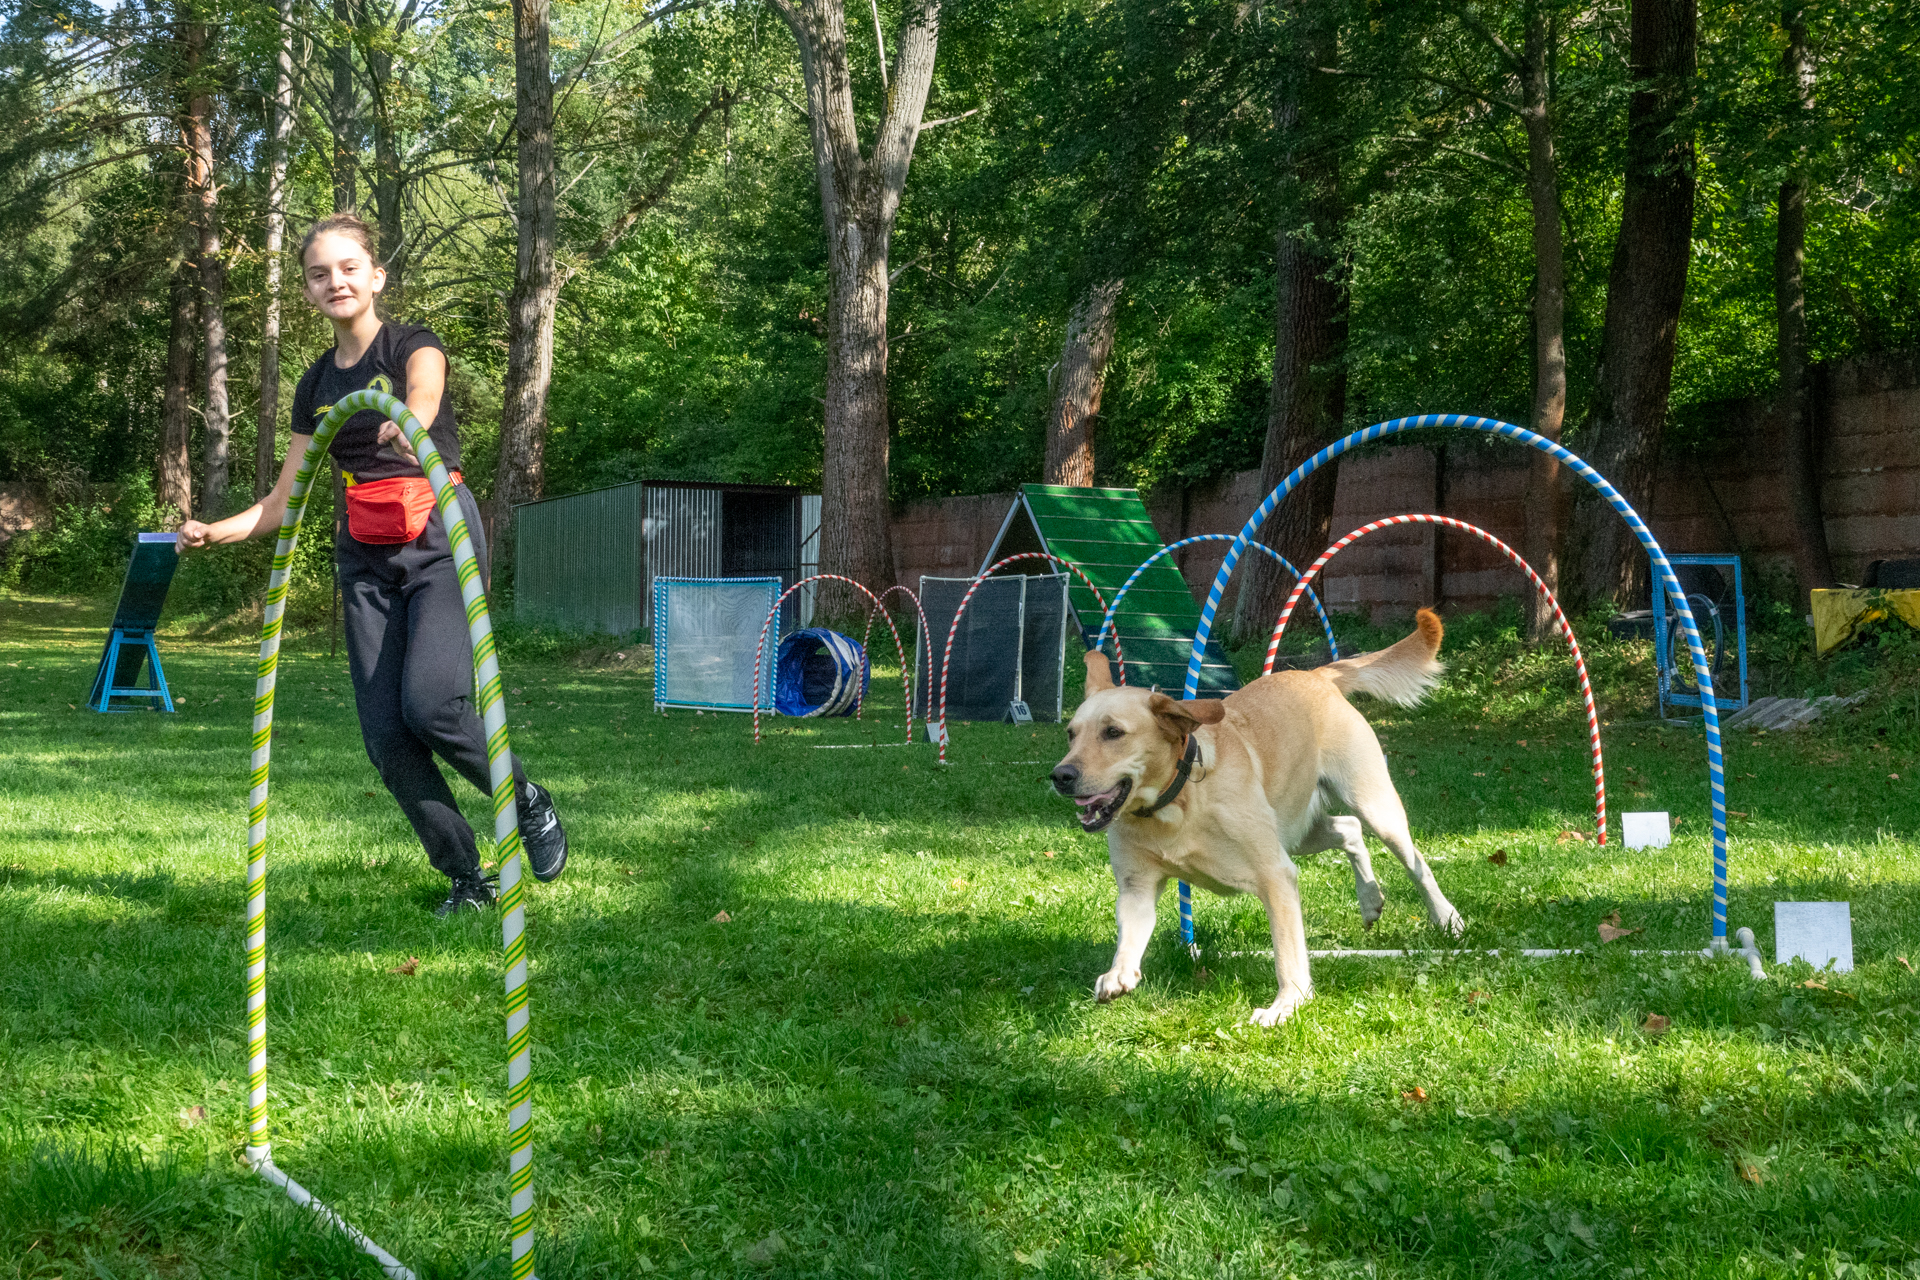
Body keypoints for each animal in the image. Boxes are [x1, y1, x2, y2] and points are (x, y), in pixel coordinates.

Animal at [1050, 609, 1464, 1026]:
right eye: (1071, 734)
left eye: (1113, 732)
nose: (1060, 775)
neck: (1177, 802)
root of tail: (1318, 675)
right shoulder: (1137, 887)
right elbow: (1129, 938)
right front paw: (1118, 974)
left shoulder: (1276, 875)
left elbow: (1288, 951)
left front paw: (1288, 1003)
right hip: (1297, 833)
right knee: (1349, 828)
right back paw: (1370, 899)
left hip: (1374, 808)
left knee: (1414, 861)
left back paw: (1447, 918)